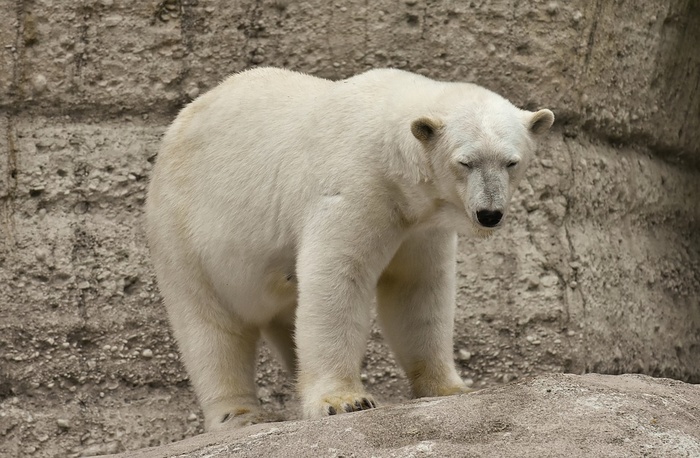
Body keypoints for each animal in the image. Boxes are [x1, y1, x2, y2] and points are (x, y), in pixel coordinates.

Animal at [145, 66, 556, 432]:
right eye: (465, 162)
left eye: (511, 161)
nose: (490, 214)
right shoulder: (354, 188)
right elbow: (338, 279)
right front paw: (345, 400)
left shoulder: (419, 226)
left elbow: (416, 291)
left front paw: (452, 387)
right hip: (186, 234)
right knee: (209, 327)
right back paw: (239, 414)